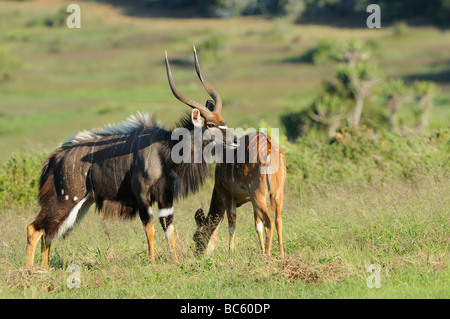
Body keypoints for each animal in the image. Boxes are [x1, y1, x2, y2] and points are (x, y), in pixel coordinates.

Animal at [25, 47, 239, 268]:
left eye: (224, 121)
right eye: (211, 124)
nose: (235, 140)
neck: (165, 150)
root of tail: (54, 160)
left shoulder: (166, 198)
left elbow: (168, 228)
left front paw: (175, 261)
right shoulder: (143, 196)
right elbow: (150, 230)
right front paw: (152, 263)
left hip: (81, 204)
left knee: (49, 233)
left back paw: (44, 269)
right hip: (66, 199)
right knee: (35, 228)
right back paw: (30, 270)